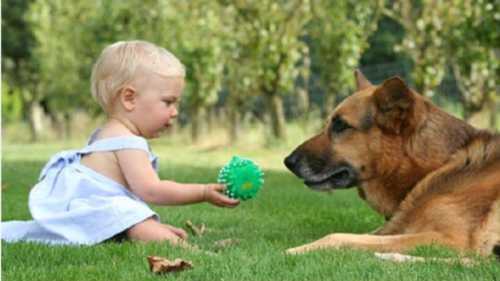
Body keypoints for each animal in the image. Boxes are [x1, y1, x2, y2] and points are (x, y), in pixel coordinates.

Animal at [286, 70, 500, 258]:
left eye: (341, 125)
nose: (287, 162)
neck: (434, 167)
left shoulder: (449, 240)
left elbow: (337, 236)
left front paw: (294, 250)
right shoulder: (392, 229)